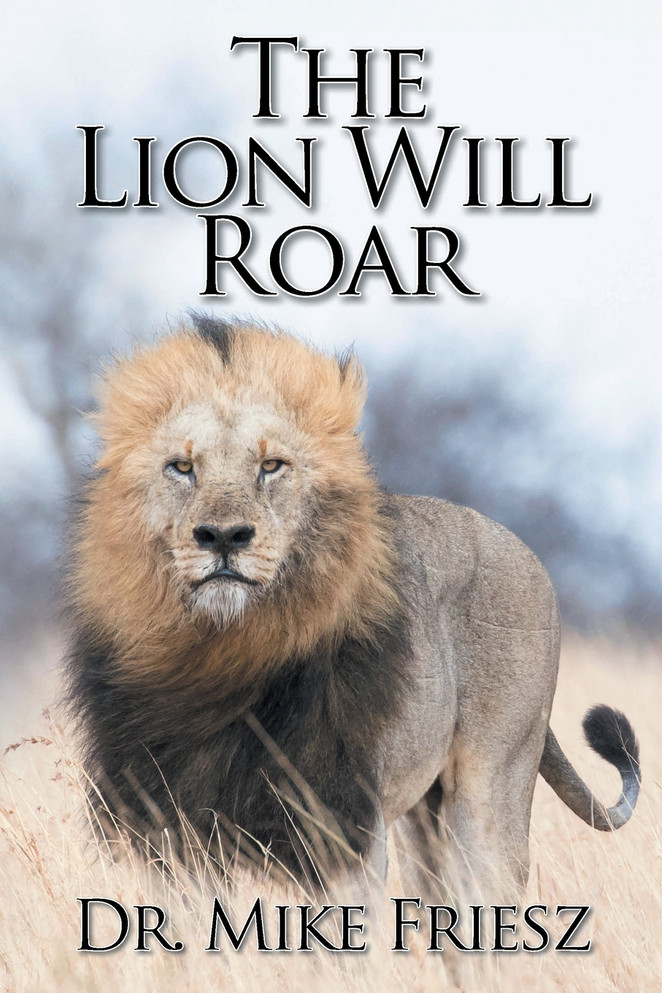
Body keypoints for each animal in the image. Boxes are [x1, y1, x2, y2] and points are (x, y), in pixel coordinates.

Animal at [66, 315, 640, 899]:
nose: (223, 537)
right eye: (181, 467)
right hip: (422, 820)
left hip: (490, 791)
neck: (225, 655)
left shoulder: (341, 826)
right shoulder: (166, 830)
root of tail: (524, 550)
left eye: (271, 466)